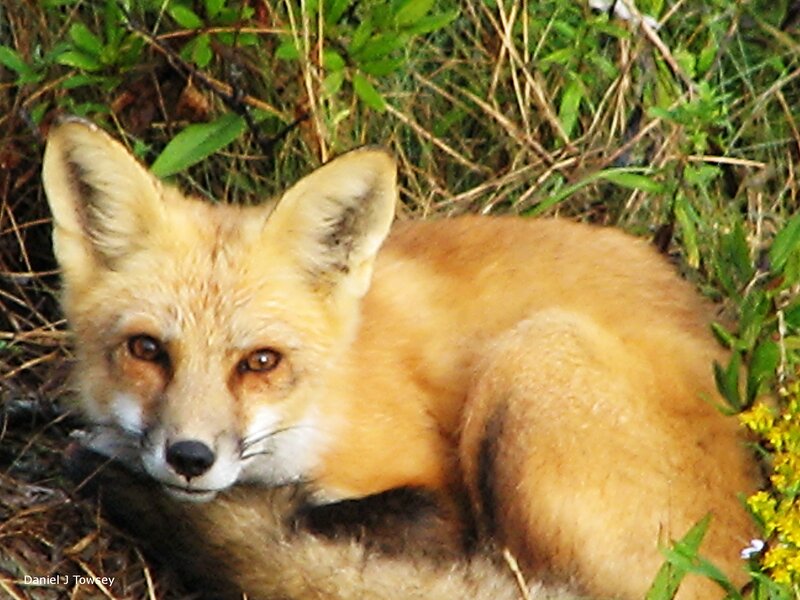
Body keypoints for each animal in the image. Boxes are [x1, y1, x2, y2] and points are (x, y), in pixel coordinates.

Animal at [43, 117, 760, 599]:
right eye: (147, 350)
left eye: (261, 362)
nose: (189, 458)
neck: (323, 405)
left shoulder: (436, 497)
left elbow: (313, 515)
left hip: (535, 355)